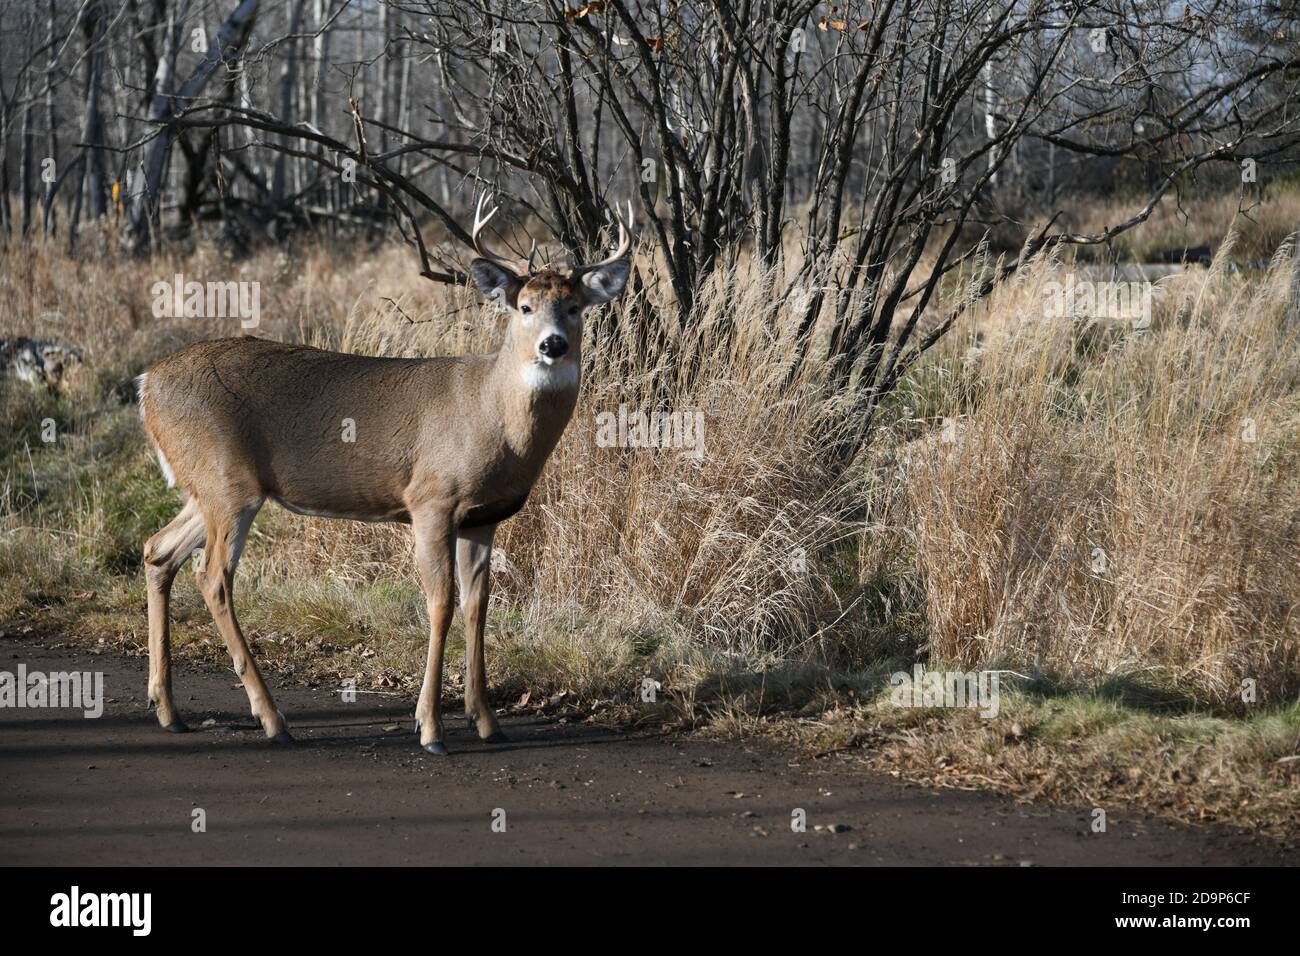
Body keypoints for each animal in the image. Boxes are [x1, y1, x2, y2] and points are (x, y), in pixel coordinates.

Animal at [134, 200, 631, 754]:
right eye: (524, 307)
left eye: (575, 306)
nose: (553, 345)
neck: (494, 416)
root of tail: (146, 384)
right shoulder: (431, 499)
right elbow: (441, 603)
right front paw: (430, 728)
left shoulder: (484, 517)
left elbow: (478, 606)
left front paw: (486, 721)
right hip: (228, 483)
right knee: (213, 575)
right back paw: (272, 719)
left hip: (207, 488)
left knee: (158, 551)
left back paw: (168, 710)